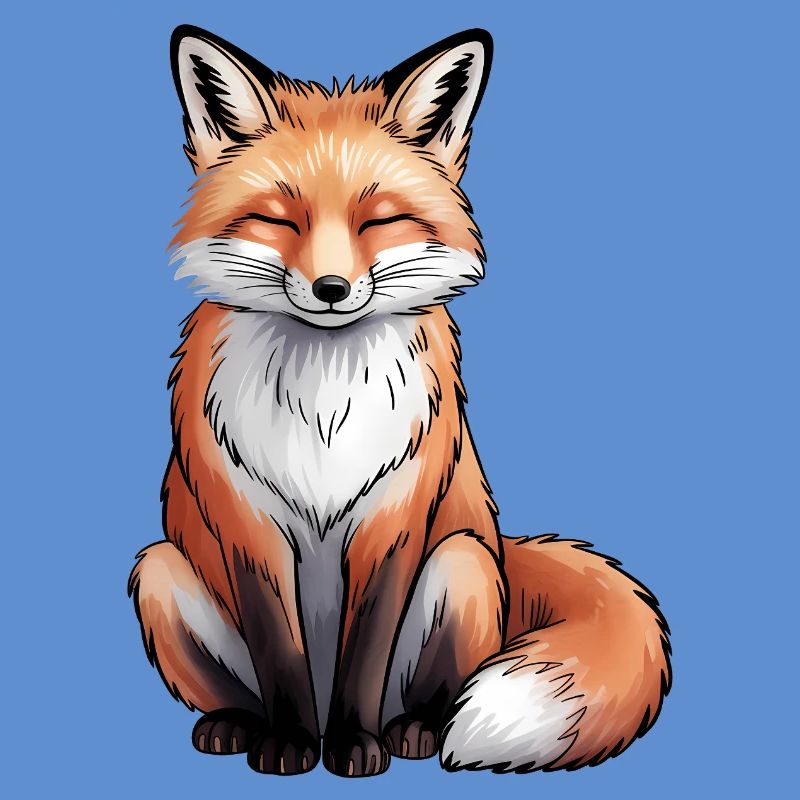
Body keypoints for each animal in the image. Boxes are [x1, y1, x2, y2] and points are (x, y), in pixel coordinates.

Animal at [128, 25, 671, 778]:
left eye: (378, 221)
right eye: (277, 219)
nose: (330, 288)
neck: (323, 410)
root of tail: (504, 547)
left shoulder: (393, 518)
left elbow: (366, 651)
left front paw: (354, 746)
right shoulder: (248, 525)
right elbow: (279, 649)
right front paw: (291, 745)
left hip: (463, 563)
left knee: (431, 696)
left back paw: (410, 733)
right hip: (158, 569)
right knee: (239, 687)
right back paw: (238, 725)